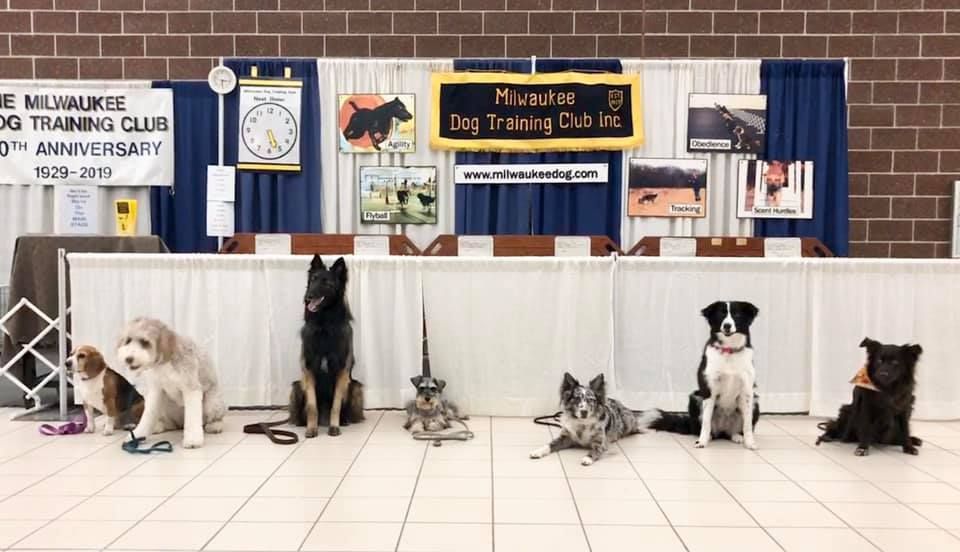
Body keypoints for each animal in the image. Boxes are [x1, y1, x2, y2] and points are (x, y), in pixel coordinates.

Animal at [117, 316, 226, 446]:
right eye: (128, 341)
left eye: (145, 342)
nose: (128, 359)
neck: (165, 361)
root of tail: (180, 423)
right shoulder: (156, 391)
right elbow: (148, 415)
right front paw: (137, 435)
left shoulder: (191, 388)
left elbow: (193, 417)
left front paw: (193, 440)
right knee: (170, 424)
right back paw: (158, 427)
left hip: (212, 403)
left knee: (213, 418)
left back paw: (215, 426)